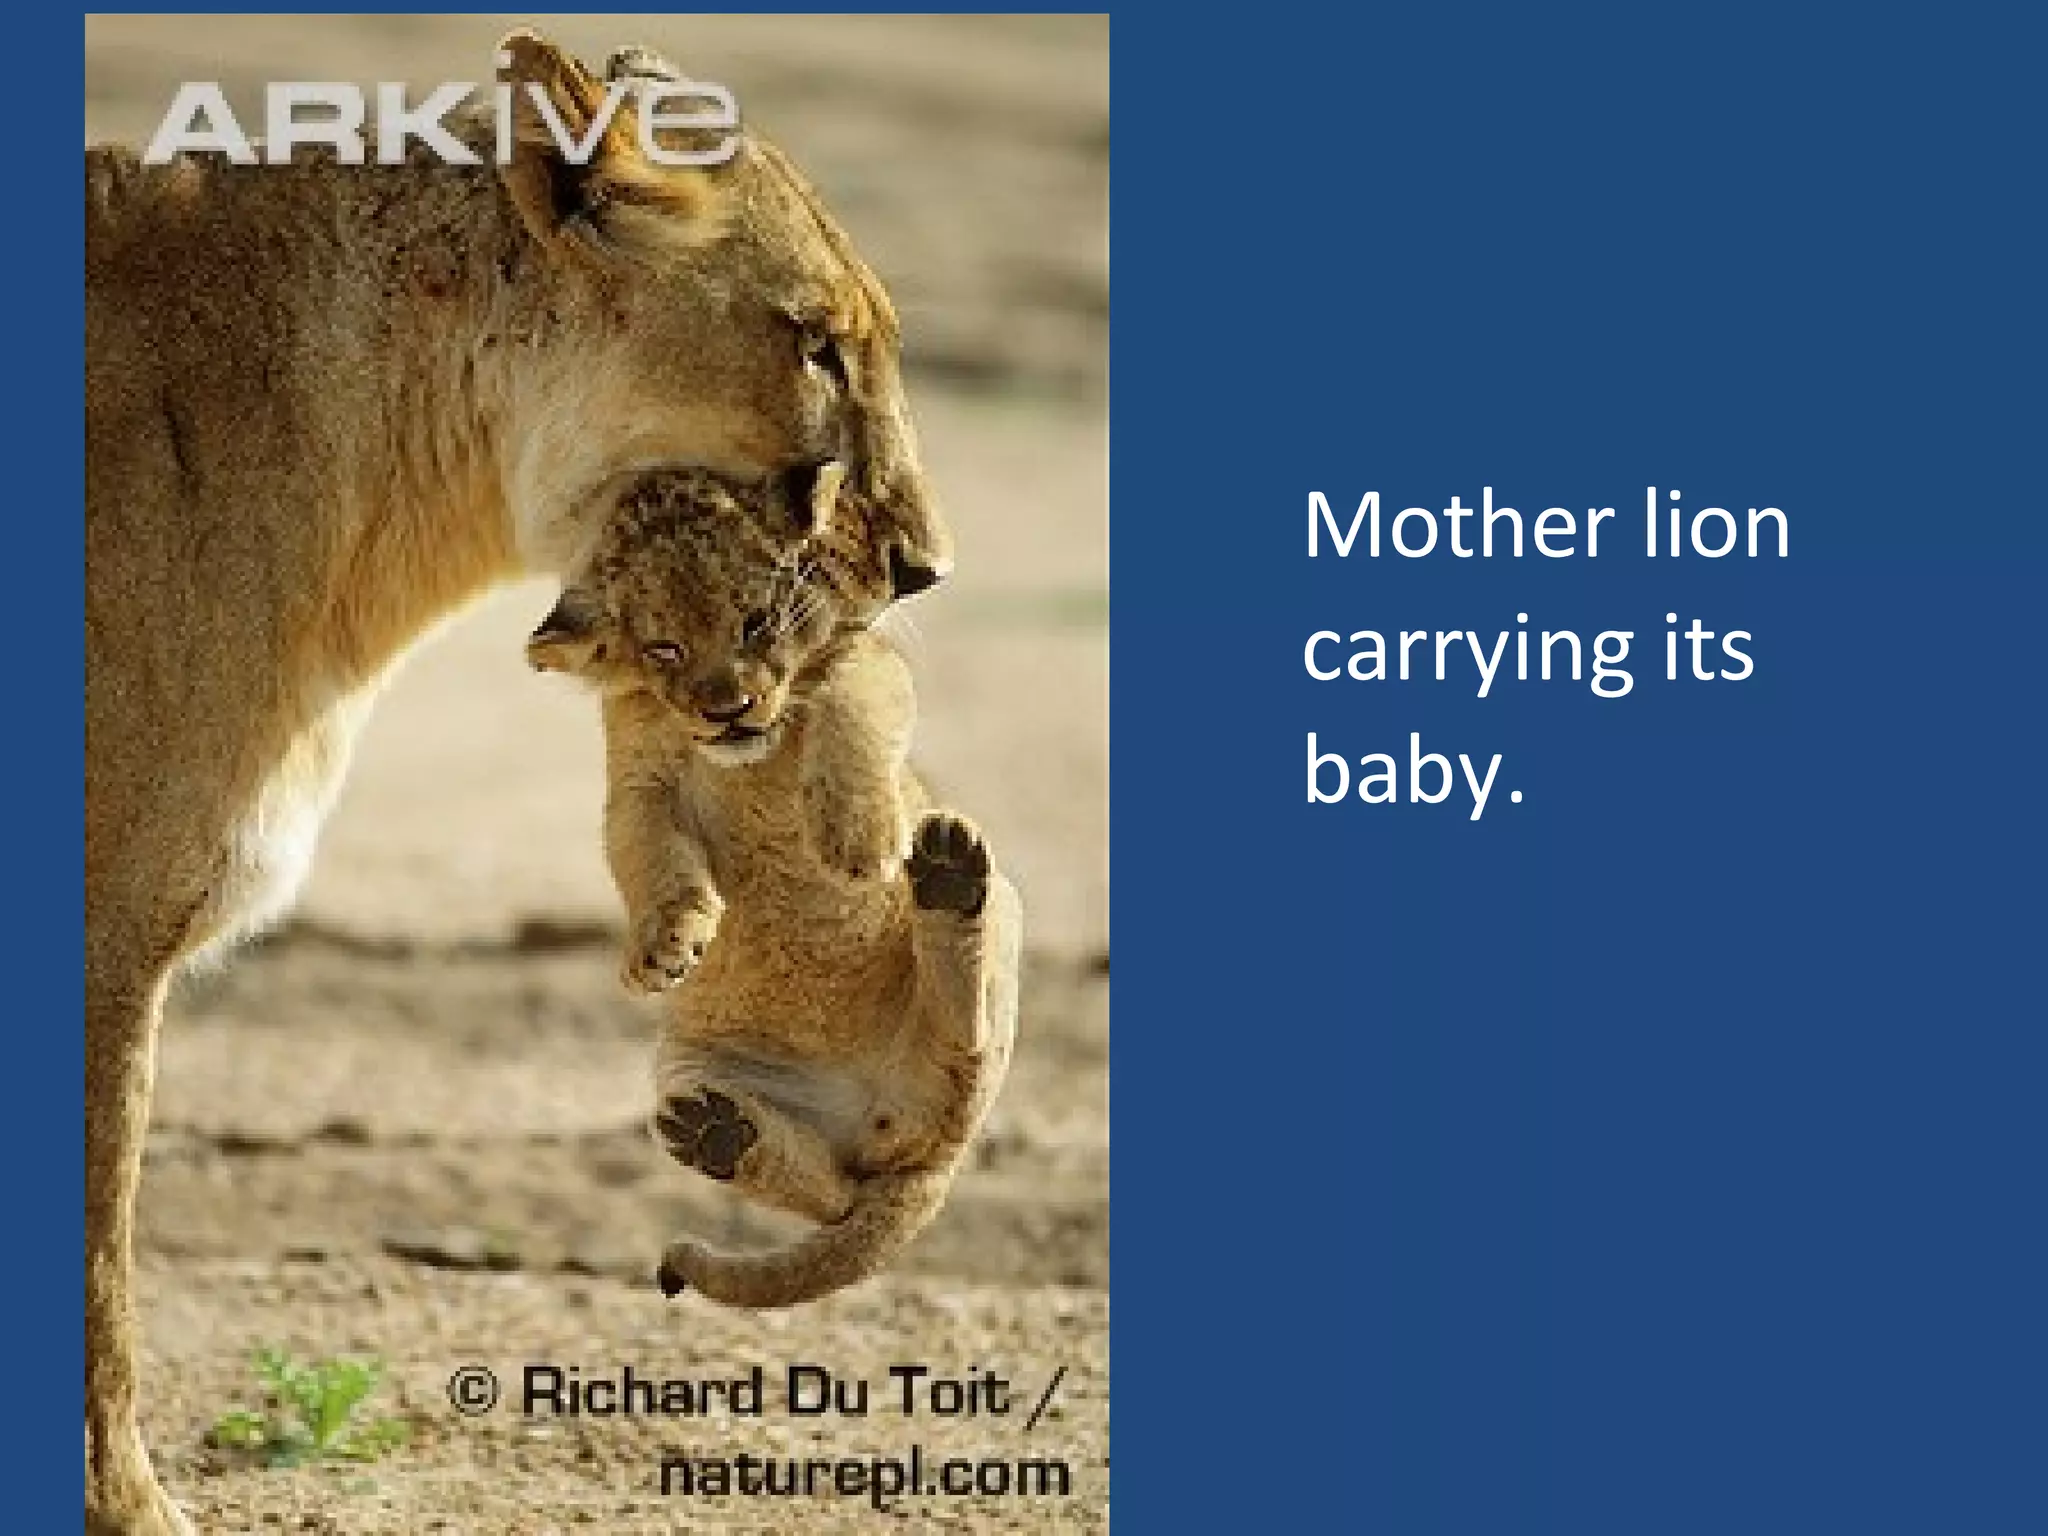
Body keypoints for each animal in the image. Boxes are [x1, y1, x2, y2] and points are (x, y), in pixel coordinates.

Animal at [525, 464, 1020, 1308]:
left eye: (755, 624)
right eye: (665, 646)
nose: (729, 712)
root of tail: (926, 1164)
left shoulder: (866, 657)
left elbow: (852, 706)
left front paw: (856, 837)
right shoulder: (640, 783)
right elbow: (648, 856)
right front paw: (663, 947)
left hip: (1003, 937)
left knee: (969, 1033)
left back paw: (947, 878)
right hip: (680, 1074)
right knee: (835, 1194)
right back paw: (722, 1135)